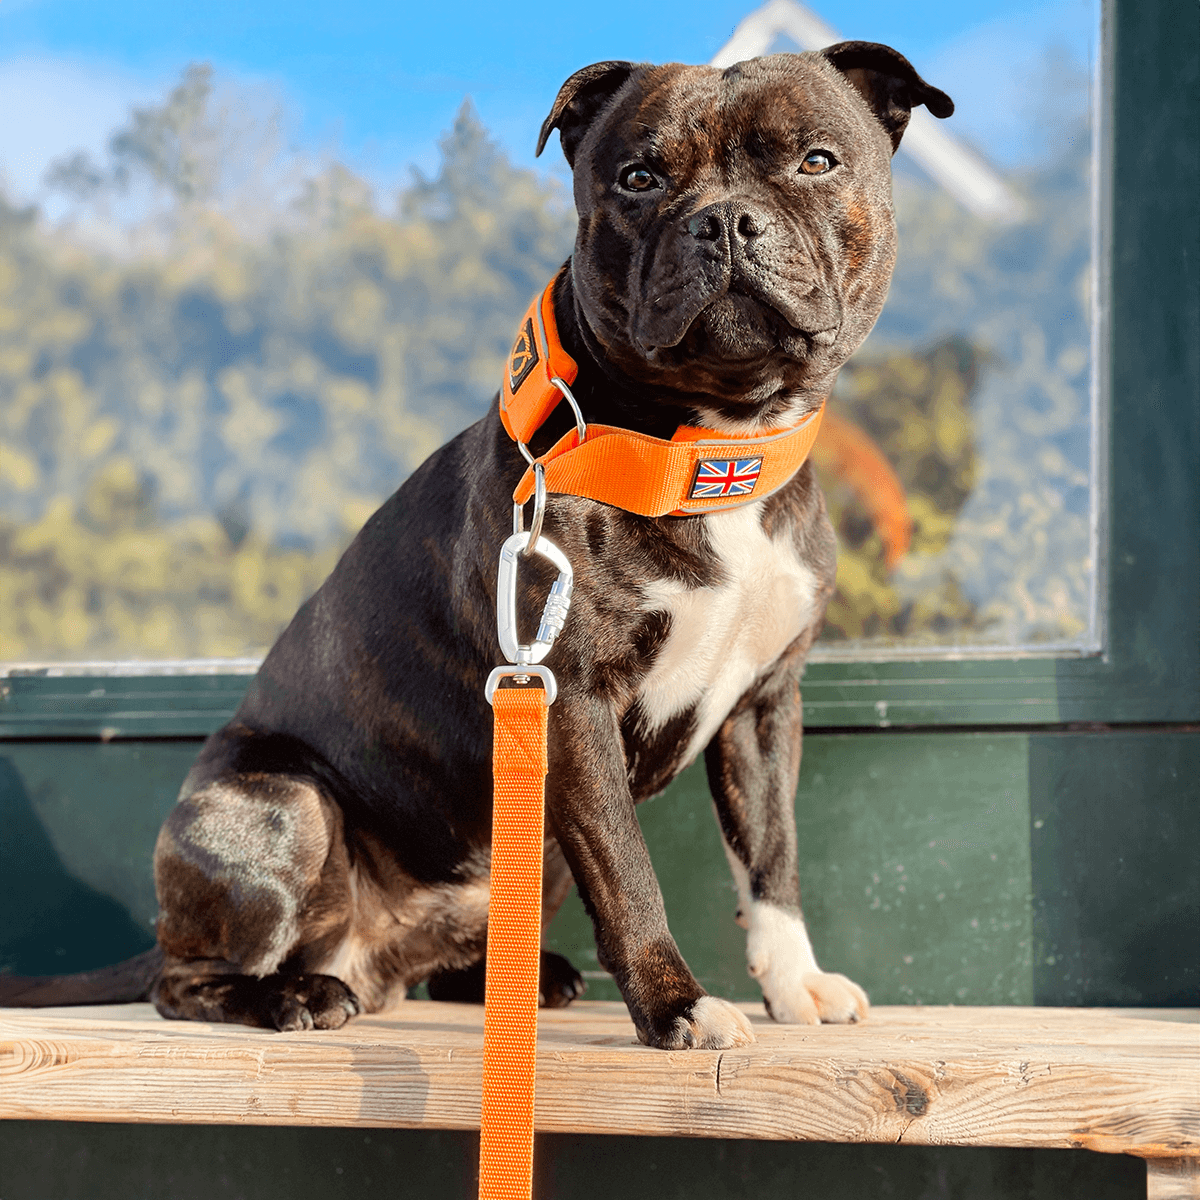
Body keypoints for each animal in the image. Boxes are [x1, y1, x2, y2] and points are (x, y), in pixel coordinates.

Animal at [2, 44, 955, 1051]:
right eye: (640, 177)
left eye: (816, 161)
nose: (724, 219)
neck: (705, 447)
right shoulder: (572, 701)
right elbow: (633, 875)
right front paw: (677, 1006)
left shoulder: (763, 708)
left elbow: (770, 857)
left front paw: (794, 982)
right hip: (284, 808)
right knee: (183, 978)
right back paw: (287, 996)